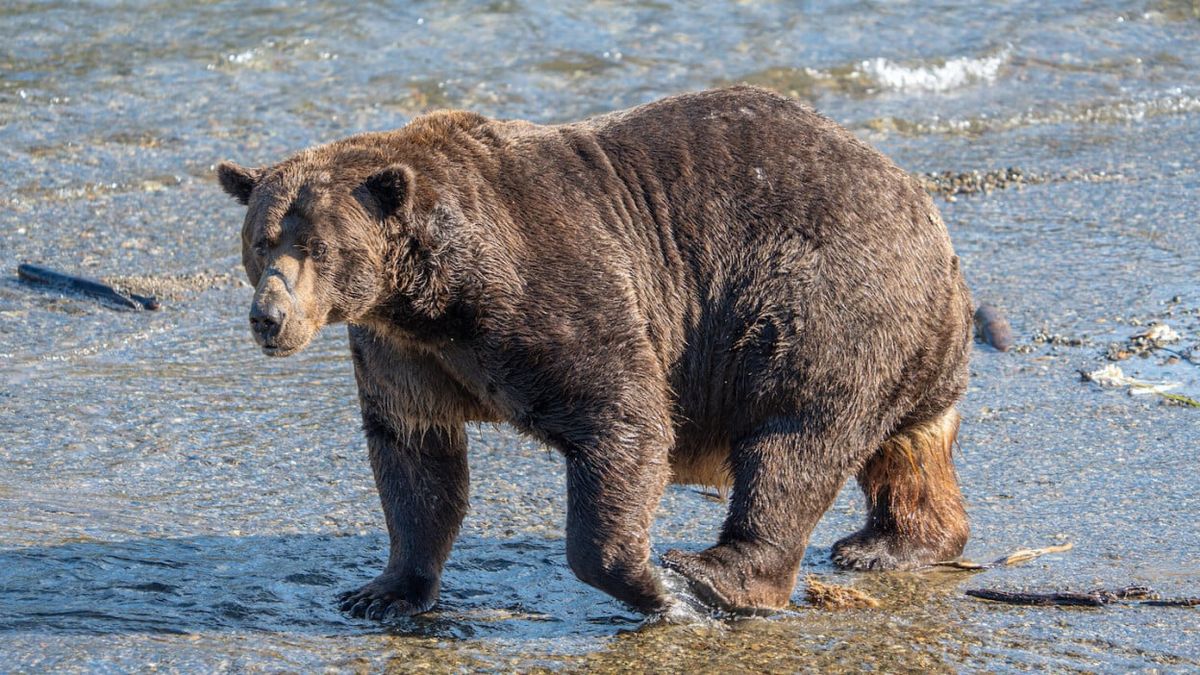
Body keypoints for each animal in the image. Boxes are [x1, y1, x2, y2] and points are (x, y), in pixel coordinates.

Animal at [217, 85, 973, 619]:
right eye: (260, 241)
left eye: (316, 246)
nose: (269, 318)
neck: (431, 297)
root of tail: (922, 206)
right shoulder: (402, 353)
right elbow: (414, 457)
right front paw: (384, 588)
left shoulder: (547, 288)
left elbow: (620, 416)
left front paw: (654, 584)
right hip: (908, 341)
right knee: (909, 446)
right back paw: (893, 544)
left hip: (819, 298)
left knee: (792, 438)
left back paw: (715, 572)